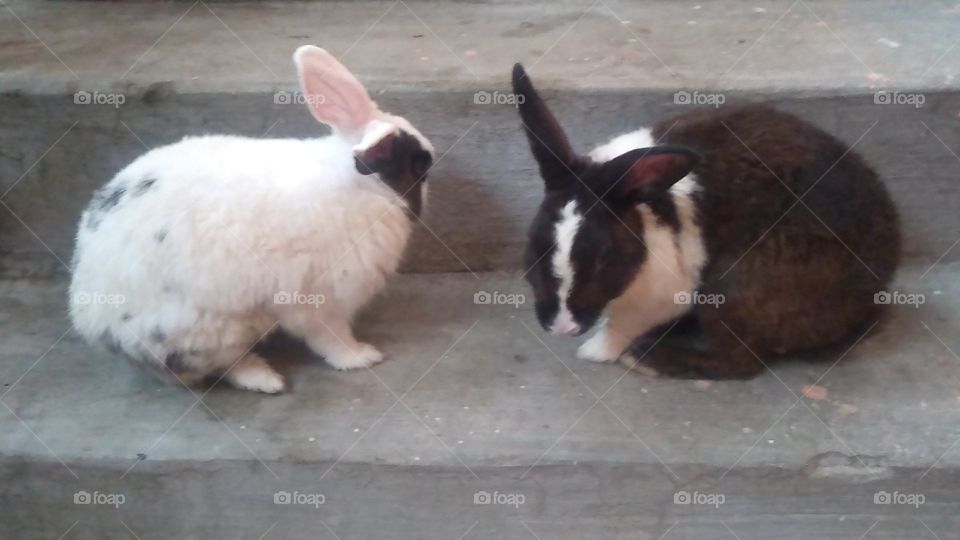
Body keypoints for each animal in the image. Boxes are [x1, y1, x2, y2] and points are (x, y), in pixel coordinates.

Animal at [68, 46, 434, 393]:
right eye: (417, 165)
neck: (358, 187)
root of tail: (93, 322)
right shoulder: (316, 298)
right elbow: (330, 337)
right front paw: (362, 357)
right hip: (211, 329)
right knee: (225, 365)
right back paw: (266, 379)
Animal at [511, 63, 900, 379]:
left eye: (603, 257)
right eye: (533, 243)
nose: (562, 326)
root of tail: (872, 300)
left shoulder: (661, 294)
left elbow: (621, 327)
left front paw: (595, 351)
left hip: (732, 287)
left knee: (741, 362)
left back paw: (650, 358)